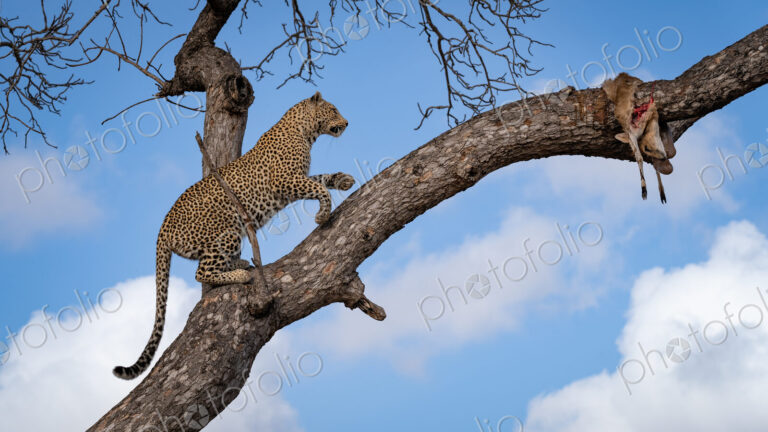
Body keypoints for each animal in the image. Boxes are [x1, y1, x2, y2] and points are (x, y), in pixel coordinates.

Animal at [113, 91, 354, 380]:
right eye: (333, 109)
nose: (347, 122)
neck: (305, 132)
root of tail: (163, 228)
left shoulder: (297, 179)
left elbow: (322, 179)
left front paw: (343, 179)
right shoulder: (285, 180)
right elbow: (320, 189)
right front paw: (323, 215)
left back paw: (239, 263)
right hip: (227, 229)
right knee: (201, 272)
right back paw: (240, 273)